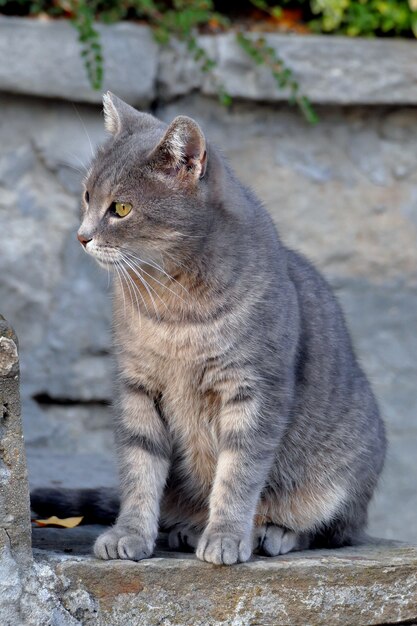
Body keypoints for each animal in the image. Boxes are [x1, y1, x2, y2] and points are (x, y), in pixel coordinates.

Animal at [31, 94, 384, 564]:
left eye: (121, 208)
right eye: (87, 196)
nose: (81, 236)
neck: (171, 306)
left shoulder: (253, 389)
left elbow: (237, 475)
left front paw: (226, 537)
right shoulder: (137, 386)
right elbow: (138, 470)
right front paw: (129, 533)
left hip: (340, 475)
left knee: (334, 529)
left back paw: (272, 532)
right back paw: (185, 528)